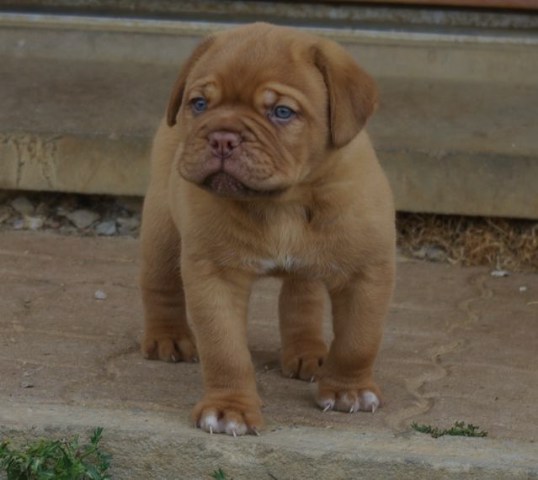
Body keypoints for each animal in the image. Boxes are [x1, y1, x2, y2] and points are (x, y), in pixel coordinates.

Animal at [140, 21, 396, 436]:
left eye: (281, 112)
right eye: (199, 104)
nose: (222, 137)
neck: (284, 202)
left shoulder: (367, 271)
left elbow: (359, 339)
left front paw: (349, 390)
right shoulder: (215, 274)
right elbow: (225, 349)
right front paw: (229, 409)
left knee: (301, 298)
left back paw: (307, 351)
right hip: (161, 228)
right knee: (159, 285)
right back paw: (168, 337)